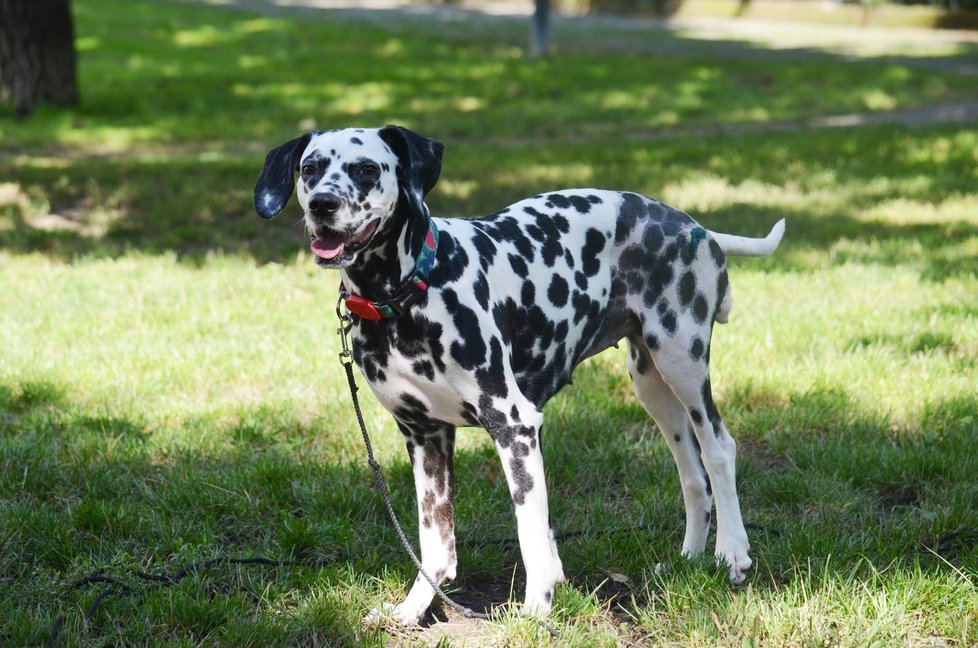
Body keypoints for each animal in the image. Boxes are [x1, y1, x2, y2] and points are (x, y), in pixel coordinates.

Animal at [254, 124, 784, 624]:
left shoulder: (514, 427)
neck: (411, 291)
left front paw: (537, 610)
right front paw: (412, 610)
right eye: (310, 169)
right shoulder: (425, 437)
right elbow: (434, 545)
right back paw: (690, 557)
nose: (322, 204)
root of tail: (693, 225)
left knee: (718, 450)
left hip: (683, 366)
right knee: (692, 474)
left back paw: (731, 552)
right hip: (653, 388)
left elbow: (530, 533)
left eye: (366, 168)